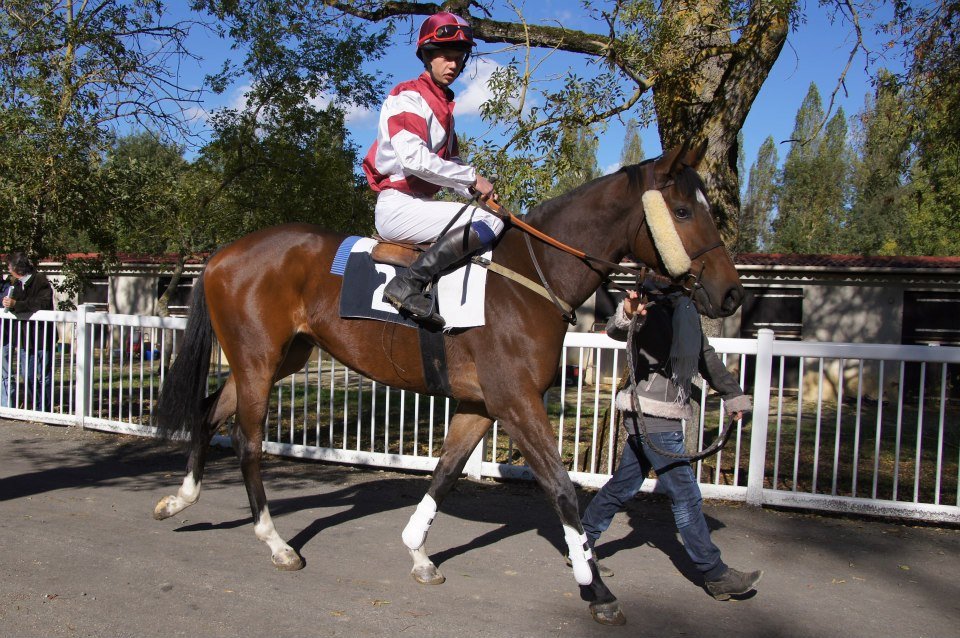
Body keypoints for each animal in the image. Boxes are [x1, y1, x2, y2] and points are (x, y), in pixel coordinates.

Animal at [152, 143, 744, 626]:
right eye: (684, 210)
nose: (732, 294)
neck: (531, 278)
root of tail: (223, 253)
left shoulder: (482, 405)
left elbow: (447, 472)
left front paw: (418, 553)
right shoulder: (518, 403)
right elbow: (560, 489)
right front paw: (595, 589)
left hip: (275, 360)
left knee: (208, 411)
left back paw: (180, 500)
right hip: (258, 361)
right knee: (248, 442)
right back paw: (276, 543)